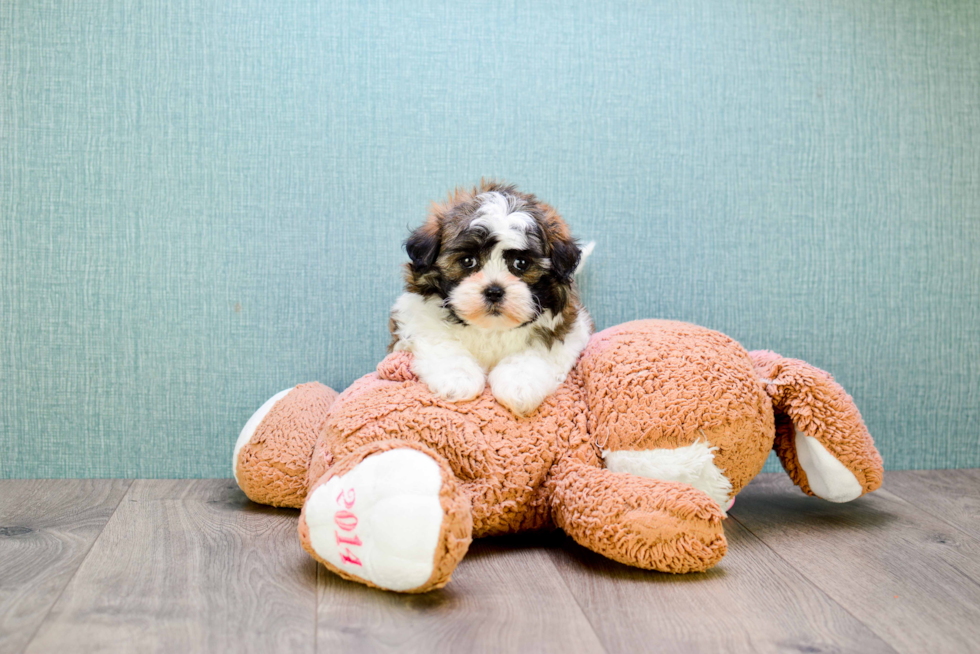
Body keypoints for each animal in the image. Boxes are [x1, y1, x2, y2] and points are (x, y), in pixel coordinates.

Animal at [388, 181, 588, 416]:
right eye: (468, 261)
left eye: (521, 263)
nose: (494, 291)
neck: (490, 328)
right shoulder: (417, 318)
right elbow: (442, 343)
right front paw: (458, 378)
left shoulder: (566, 329)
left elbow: (536, 352)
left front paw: (520, 384)